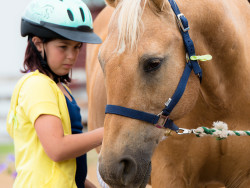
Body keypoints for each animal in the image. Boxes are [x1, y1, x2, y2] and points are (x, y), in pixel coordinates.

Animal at [85, 0, 250, 187]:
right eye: (102, 62)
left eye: (153, 63)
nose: (112, 169)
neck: (222, 103)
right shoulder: (170, 175)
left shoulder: (244, 176)